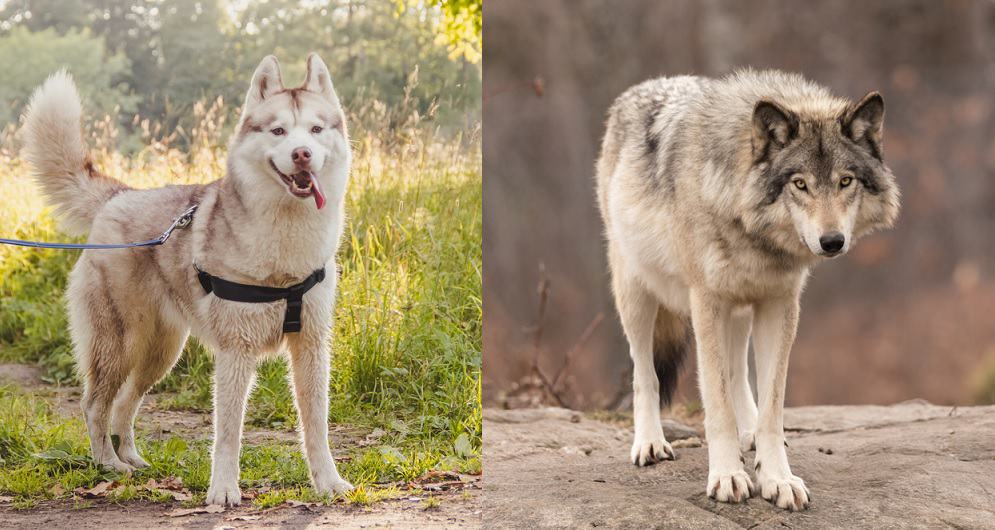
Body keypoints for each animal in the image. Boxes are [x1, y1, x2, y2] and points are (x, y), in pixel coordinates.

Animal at [21, 53, 354, 506]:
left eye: (317, 130)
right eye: (279, 131)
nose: (302, 154)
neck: (286, 246)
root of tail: (120, 196)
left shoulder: (311, 347)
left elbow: (316, 426)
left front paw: (328, 482)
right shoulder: (236, 352)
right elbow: (228, 433)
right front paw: (224, 489)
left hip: (161, 353)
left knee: (125, 404)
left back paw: (131, 457)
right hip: (119, 346)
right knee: (94, 406)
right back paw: (107, 463)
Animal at [595, 70, 900, 510]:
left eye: (845, 181)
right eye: (799, 184)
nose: (831, 242)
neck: (751, 228)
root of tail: (643, 86)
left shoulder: (779, 304)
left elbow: (771, 406)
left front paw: (778, 478)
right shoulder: (706, 302)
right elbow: (716, 404)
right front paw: (727, 476)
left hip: (739, 309)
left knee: (737, 372)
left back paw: (748, 431)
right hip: (636, 292)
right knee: (645, 373)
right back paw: (650, 443)